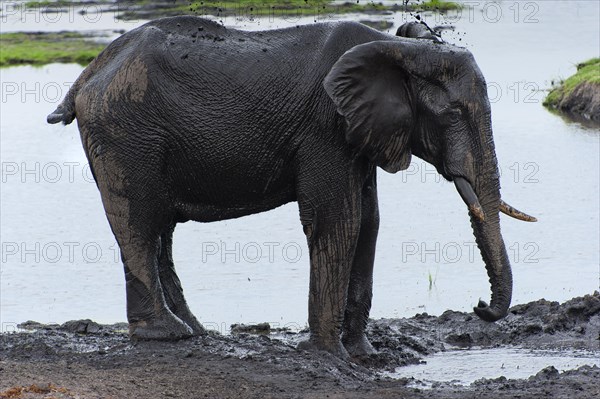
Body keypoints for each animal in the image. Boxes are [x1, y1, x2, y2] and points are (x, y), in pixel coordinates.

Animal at [45, 16, 536, 360]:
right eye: (453, 113)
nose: (479, 306)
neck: (401, 47)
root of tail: (88, 74)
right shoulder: (325, 127)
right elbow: (338, 220)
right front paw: (329, 356)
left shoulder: (358, 132)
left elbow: (370, 222)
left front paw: (365, 356)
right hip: (125, 132)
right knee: (141, 224)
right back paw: (167, 335)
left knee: (160, 229)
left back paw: (193, 331)